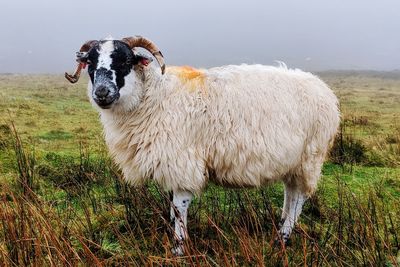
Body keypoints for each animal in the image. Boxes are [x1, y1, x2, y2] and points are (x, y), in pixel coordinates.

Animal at [66, 35, 340, 255]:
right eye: (90, 63)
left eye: (124, 61)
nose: (102, 93)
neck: (152, 97)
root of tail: (324, 90)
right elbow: (171, 211)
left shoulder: (182, 165)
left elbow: (179, 210)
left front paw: (178, 249)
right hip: (292, 162)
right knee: (290, 194)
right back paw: (279, 233)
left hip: (310, 158)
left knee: (299, 199)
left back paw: (282, 238)